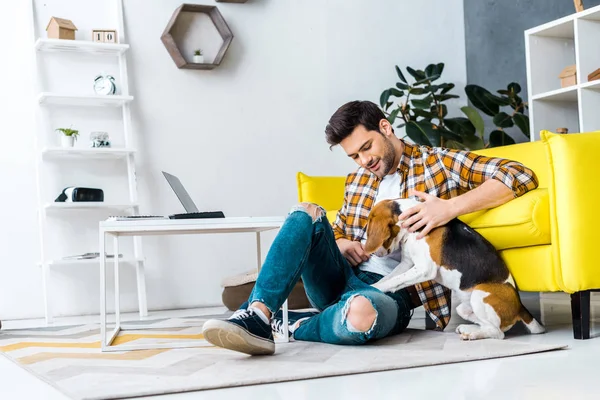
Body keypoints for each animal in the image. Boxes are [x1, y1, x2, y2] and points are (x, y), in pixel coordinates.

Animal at [364, 198, 548, 340]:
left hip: (480, 294)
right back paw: (469, 329)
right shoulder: (407, 264)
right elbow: (390, 278)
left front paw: (374, 288)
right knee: (491, 327)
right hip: (464, 308)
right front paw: (374, 285)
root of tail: (520, 307)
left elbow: (393, 281)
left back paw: (472, 334)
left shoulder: (425, 269)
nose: (375, 254)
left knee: (497, 333)